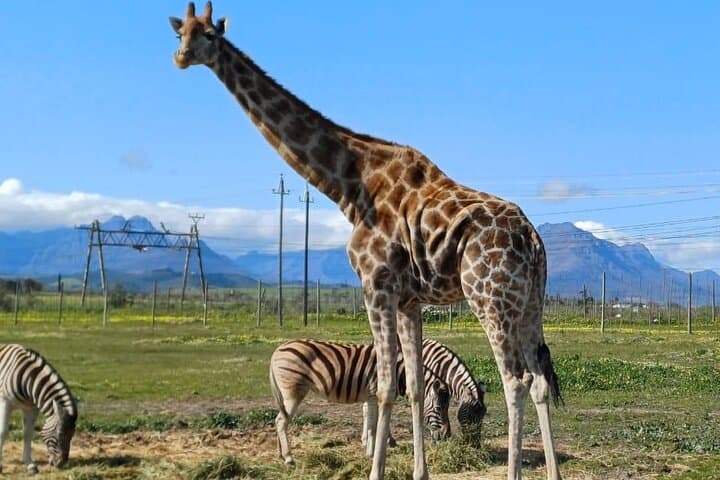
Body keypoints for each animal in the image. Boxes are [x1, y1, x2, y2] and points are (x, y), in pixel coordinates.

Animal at [169, 3, 563, 479]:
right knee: (539, 381)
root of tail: (533, 239)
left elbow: (385, 387)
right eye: (180, 32)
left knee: (515, 381)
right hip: (530, 303)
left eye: (208, 35)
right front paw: (419, 471)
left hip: (489, 298)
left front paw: (376, 469)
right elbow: (414, 388)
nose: (181, 58)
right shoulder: (410, 299)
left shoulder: (376, 283)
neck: (351, 185)